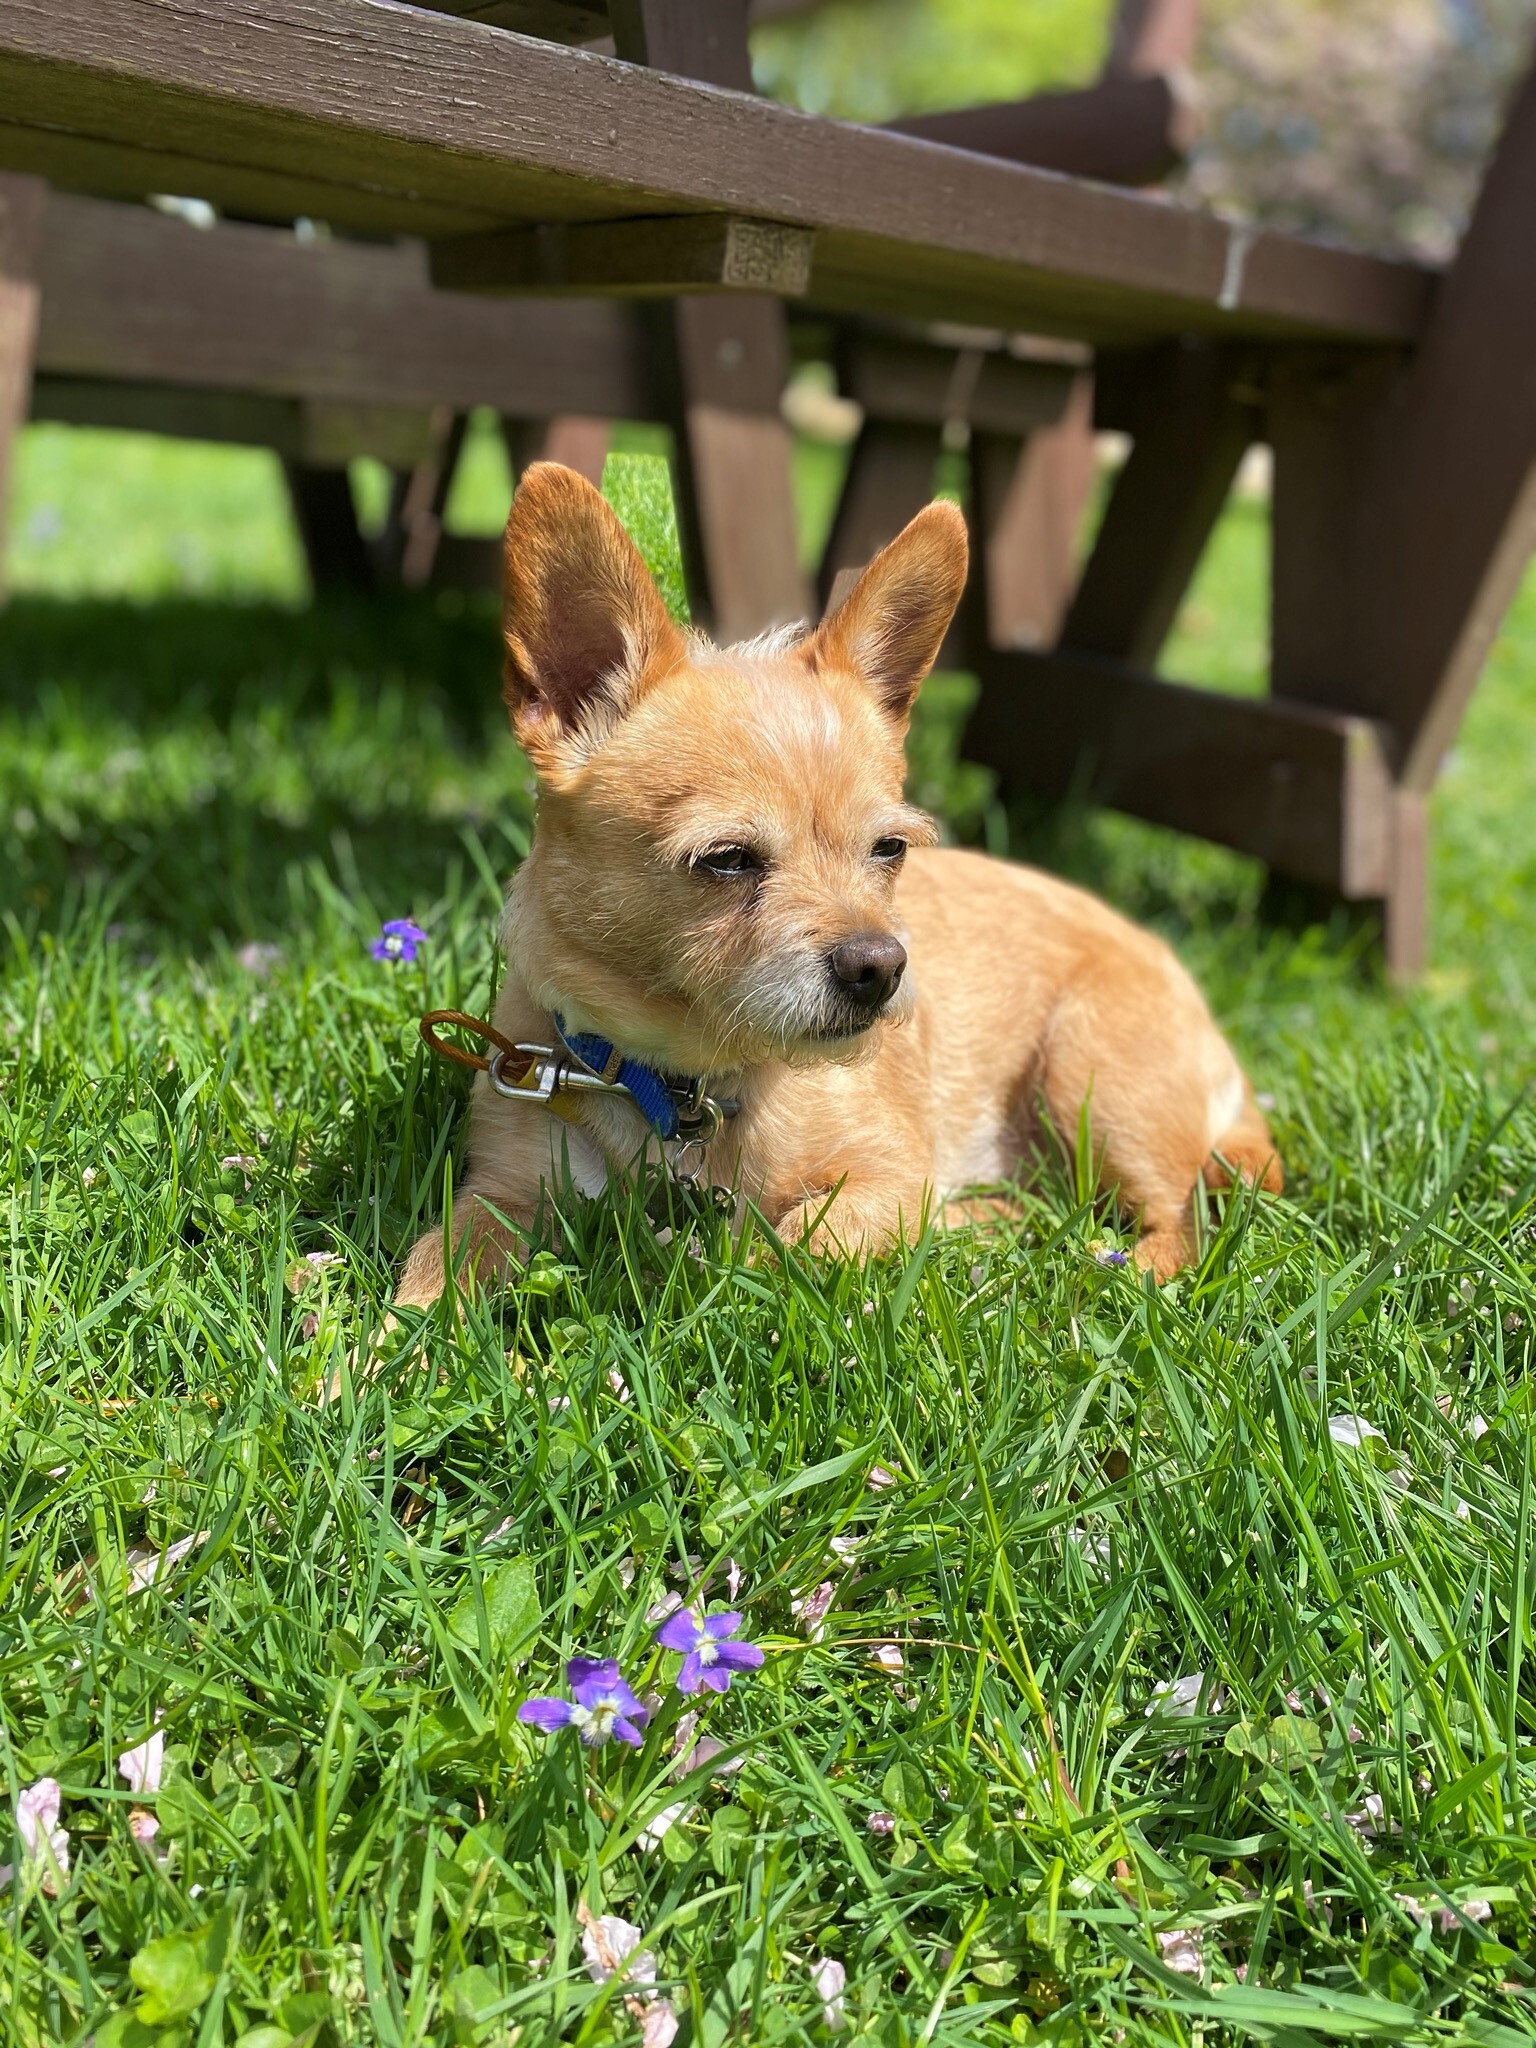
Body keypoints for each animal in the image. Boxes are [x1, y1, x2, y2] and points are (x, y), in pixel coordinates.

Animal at [397, 464, 1277, 1302]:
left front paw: (734, 1266)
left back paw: (1125, 1274)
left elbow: (795, 1243)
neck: (685, 1089)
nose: (881, 967)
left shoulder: (890, 1179)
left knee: (1182, 1218)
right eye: (726, 859)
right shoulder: (503, 1193)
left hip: (1092, 1077)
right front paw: (391, 1347)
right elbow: (437, 1262)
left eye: (889, 850)